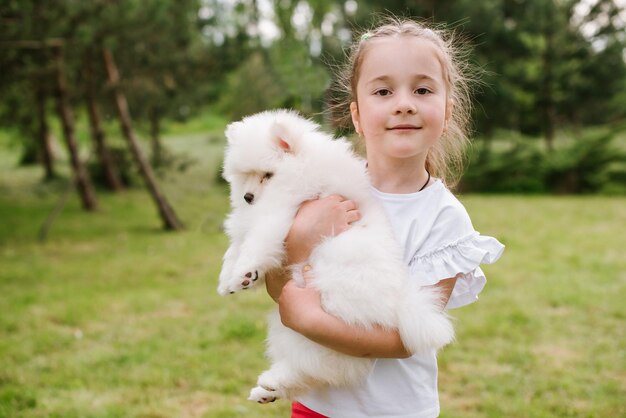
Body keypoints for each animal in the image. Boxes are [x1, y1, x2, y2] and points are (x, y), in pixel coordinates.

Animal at [217, 109, 450, 404]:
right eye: (243, 175)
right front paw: (228, 281)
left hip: (321, 322)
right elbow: (234, 247)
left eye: (267, 174)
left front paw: (244, 275)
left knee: (318, 364)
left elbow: (256, 242)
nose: (247, 197)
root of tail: (396, 311)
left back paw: (272, 383)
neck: (300, 170)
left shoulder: (281, 213)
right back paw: (267, 390)